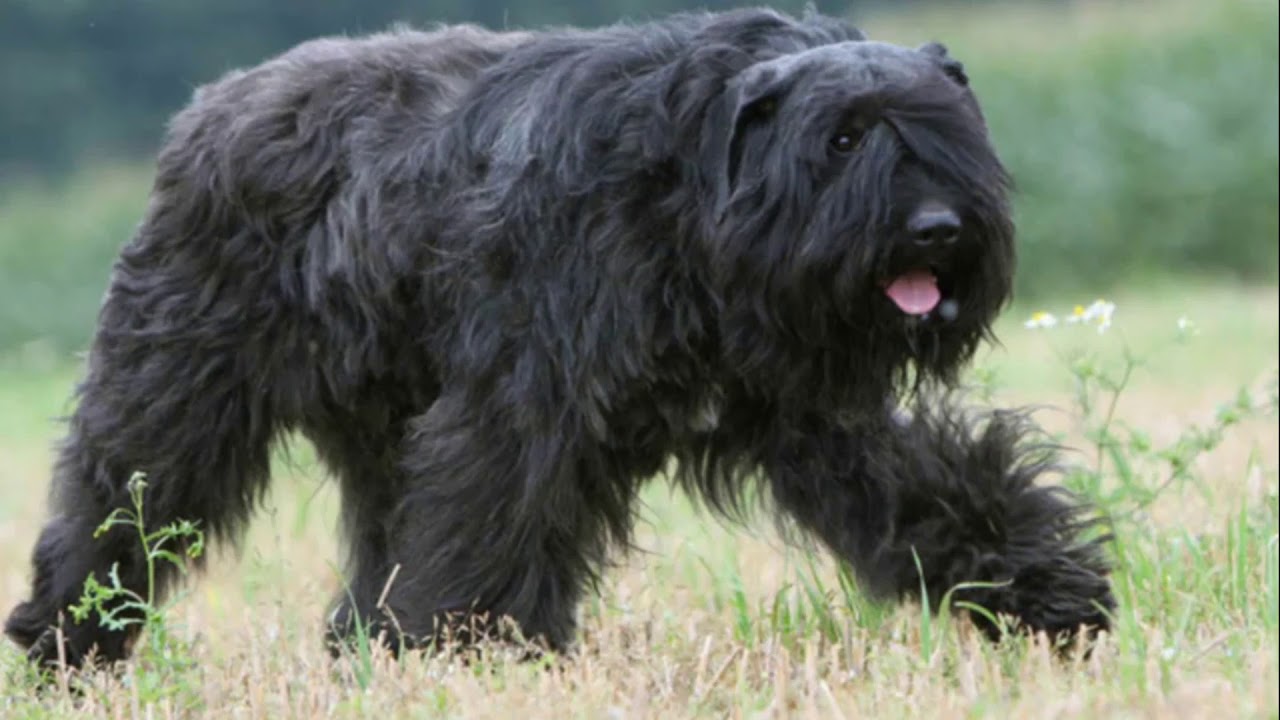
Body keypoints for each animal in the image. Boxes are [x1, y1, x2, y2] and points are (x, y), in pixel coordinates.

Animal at [5, 7, 1111, 666]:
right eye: (841, 139)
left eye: (945, 130)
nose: (937, 229)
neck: (689, 188)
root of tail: (210, 109)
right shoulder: (525, 402)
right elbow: (500, 513)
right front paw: (476, 652)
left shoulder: (812, 402)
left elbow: (928, 481)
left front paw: (1046, 591)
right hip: (177, 387)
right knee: (121, 500)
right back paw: (69, 638)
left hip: (383, 426)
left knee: (382, 534)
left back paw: (368, 648)